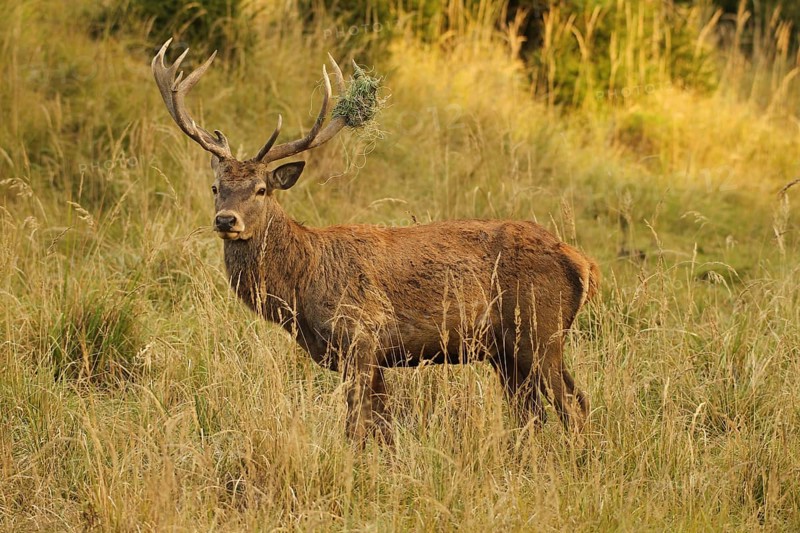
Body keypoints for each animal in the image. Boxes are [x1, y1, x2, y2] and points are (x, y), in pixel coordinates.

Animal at [152, 39, 600, 443]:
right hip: (508, 352)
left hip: (539, 329)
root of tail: (582, 264)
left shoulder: (360, 334)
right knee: (538, 413)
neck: (301, 286)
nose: (226, 220)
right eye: (216, 187)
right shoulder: (371, 356)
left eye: (261, 189)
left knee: (573, 407)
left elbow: (356, 428)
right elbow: (382, 429)